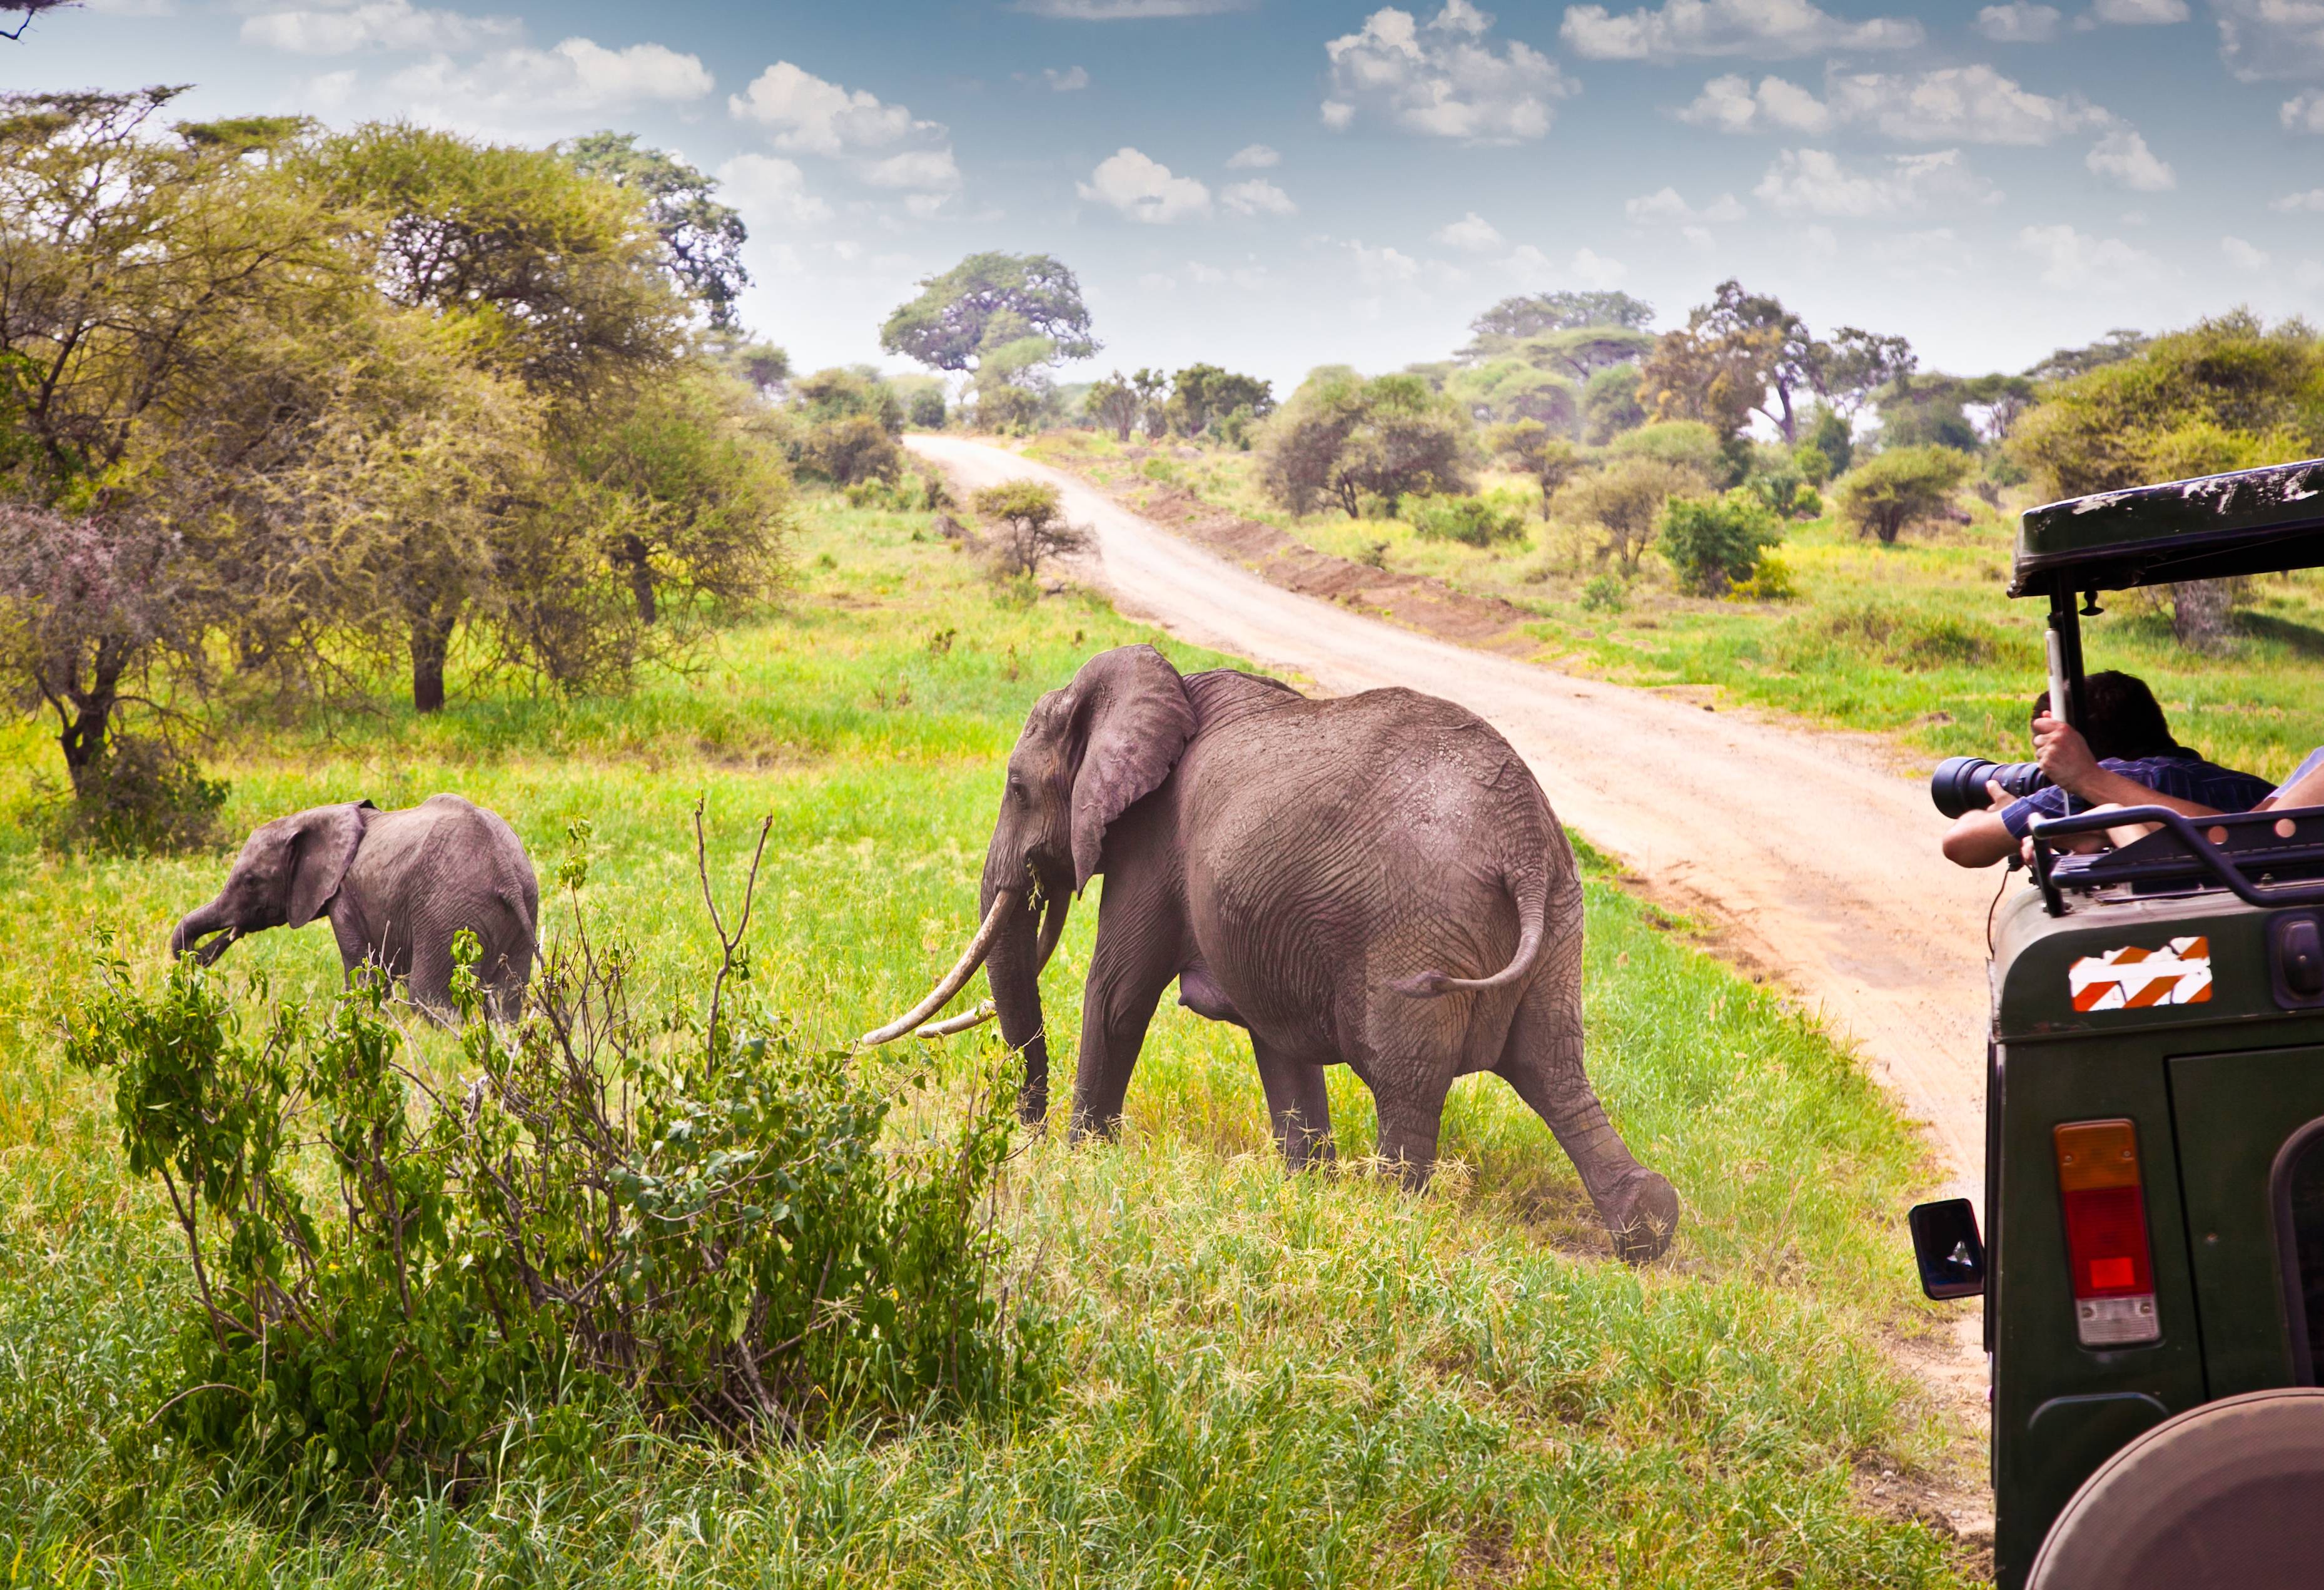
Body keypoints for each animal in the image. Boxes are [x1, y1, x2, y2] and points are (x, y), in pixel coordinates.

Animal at [169, 790, 539, 1018]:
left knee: (428, 998)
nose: (197, 956)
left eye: (250, 881)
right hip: (521, 908)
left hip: (447, 912)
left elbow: (363, 972)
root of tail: (505, 872)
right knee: (507, 999)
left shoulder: (345, 898)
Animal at [864, 641, 1682, 1264]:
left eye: (1014, 786)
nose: (1023, 1137)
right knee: (1554, 1069)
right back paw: (1646, 1228)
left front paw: (1080, 1161)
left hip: (1418, 928)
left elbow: (1118, 994)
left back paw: (1391, 1219)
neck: (1155, 688)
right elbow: (1275, 1043)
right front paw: (1306, 1189)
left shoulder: (1153, 844)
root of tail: (1520, 841)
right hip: (1561, 921)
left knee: (1410, 1083)